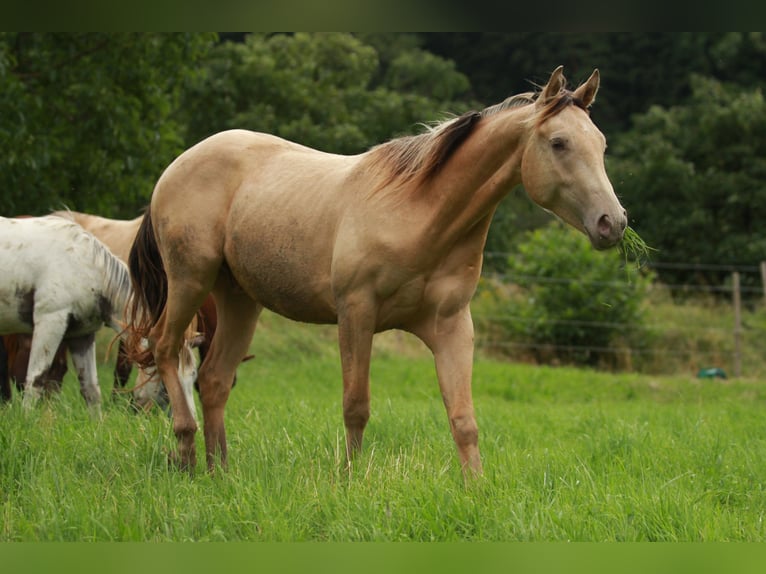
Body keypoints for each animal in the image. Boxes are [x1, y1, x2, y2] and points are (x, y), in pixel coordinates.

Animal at [127, 65, 632, 480]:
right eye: (559, 143)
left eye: (602, 144)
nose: (613, 222)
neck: (420, 213)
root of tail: (175, 167)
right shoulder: (356, 314)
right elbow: (356, 406)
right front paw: (350, 482)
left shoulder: (452, 326)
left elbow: (464, 419)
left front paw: (476, 490)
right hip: (191, 280)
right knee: (166, 348)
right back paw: (186, 452)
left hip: (239, 299)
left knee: (214, 379)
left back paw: (221, 473)